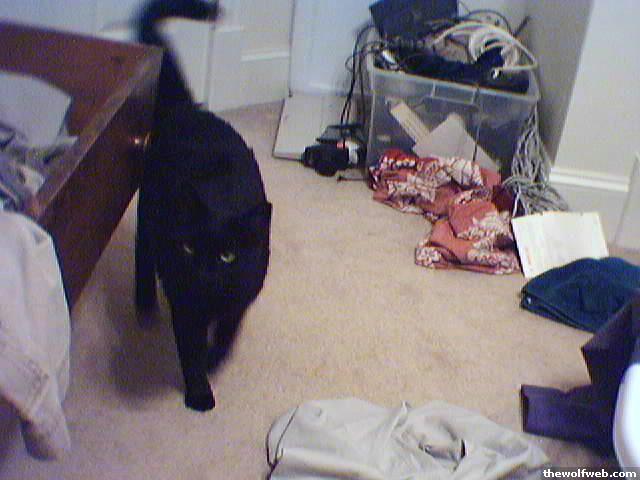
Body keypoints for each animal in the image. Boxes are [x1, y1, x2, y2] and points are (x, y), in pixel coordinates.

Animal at [135, 0, 272, 412]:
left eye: (228, 255)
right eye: (188, 248)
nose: (202, 272)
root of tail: (186, 109)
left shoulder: (242, 296)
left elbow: (229, 334)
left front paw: (216, 360)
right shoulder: (185, 303)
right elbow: (190, 348)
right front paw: (199, 393)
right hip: (148, 213)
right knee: (143, 253)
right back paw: (144, 303)